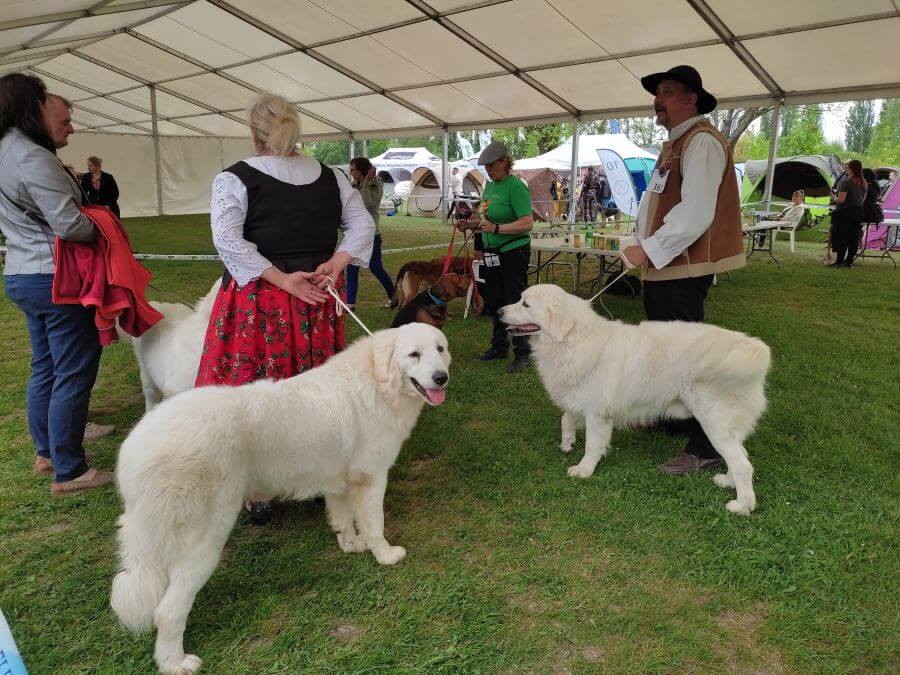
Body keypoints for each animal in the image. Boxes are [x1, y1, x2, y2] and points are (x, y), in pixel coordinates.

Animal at [110, 324, 450, 672]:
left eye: (440, 349)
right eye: (414, 354)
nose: (442, 378)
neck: (378, 382)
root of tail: (134, 449)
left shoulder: (340, 480)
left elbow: (342, 518)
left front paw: (351, 546)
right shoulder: (371, 478)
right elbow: (374, 525)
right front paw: (384, 555)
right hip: (206, 540)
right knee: (168, 611)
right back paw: (175, 663)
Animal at [496, 282, 768, 516]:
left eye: (526, 304)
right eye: (520, 300)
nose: (498, 312)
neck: (571, 340)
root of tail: (746, 346)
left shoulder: (597, 414)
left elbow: (592, 446)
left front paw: (584, 470)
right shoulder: (578, 396)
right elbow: (566, 418)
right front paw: (567, 443)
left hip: (714, 422)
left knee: (742, 464)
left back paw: (742, 505)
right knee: (740, 457)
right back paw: (727, 482)